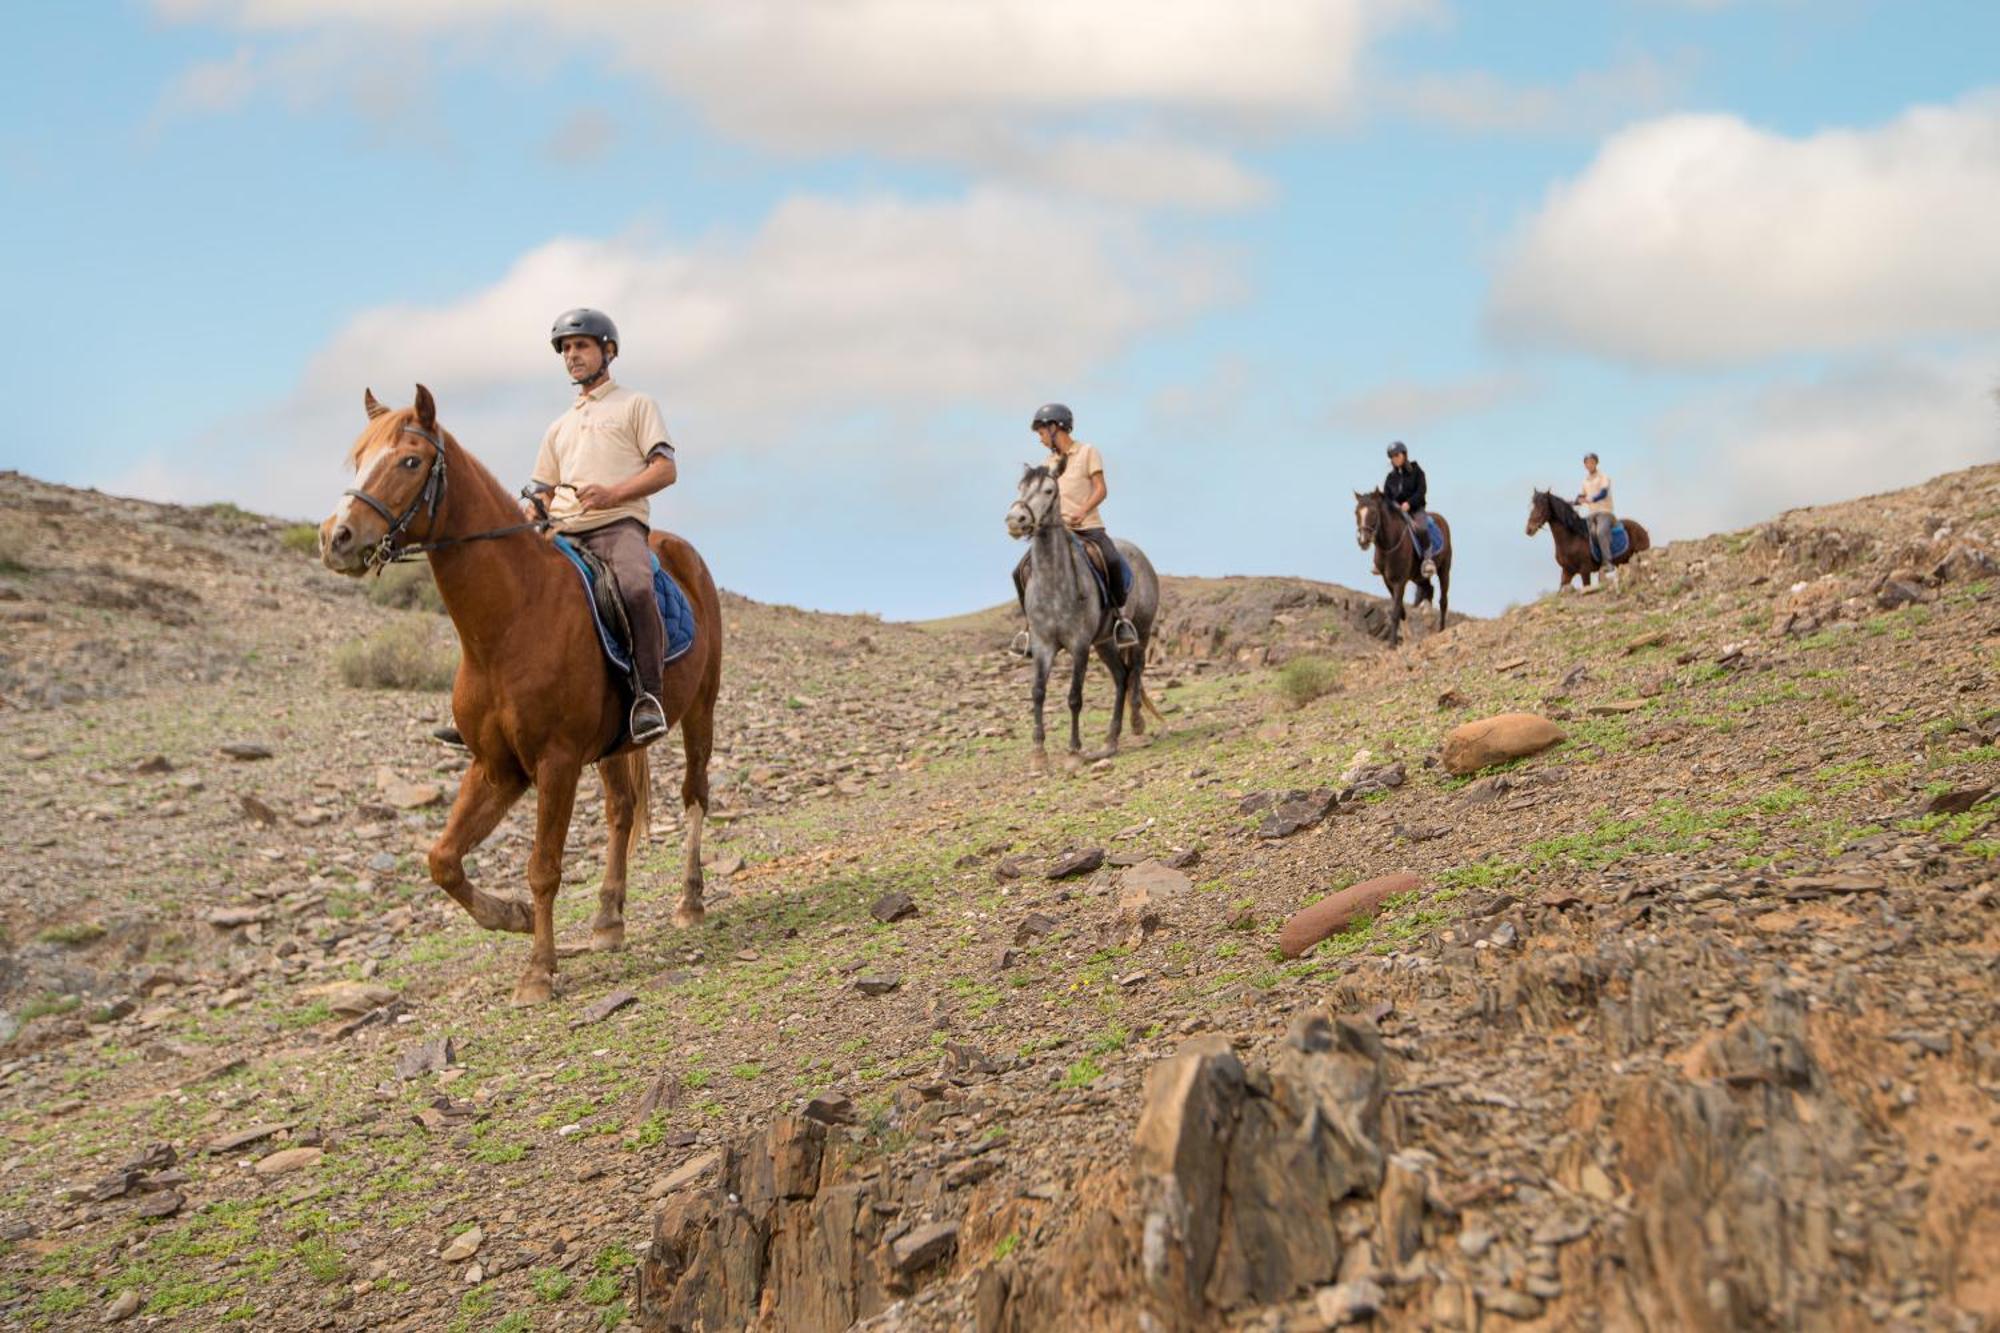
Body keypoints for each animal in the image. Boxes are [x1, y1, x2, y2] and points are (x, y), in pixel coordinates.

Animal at [312, 382, 720, 996]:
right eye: (359, 459)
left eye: (410, 461)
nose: (335, 538)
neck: (509, 622)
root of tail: (681, 553)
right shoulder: (495, 767)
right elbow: (443, 859)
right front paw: (513, 917)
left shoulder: (555, 762)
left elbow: (543, 868)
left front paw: (538, 972)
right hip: (612, 748)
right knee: (621, 812)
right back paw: (608, 919)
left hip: (701, 709)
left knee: (694, 795)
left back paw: (690, 903)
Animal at [1008, 462, 1168, 768]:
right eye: (1020, 488)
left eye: (1049, 490)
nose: (1015, 519)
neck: (1054, 584)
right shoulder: (1043, 645)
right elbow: (1038, 693)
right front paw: (1039, 754)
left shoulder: (1079, 645)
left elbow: (1074, 697)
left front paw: (1073, 752)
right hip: (1104, 642)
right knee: (1121, 677)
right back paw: (1110, 740)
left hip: (1141, 631)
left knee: (1135, 671)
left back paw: (1137, 726)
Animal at [1352, 492, 1448, 648]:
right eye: (1356, 512)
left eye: (1373, 512)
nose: (1363, 540)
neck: (1390, 545)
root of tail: (1441, 519)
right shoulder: (1388, 582)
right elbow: (1401, 610)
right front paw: (1406, 640)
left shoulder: (1400, 581)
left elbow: (1396, 611)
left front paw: (1392, 644)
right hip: (1418, 576)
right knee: (1430, 589)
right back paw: (1428, 619)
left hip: (1444, 569)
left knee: (1443, 600)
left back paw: (1441, 630)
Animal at [1528, 490, 1656, 588]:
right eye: (1532, 506)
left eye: (1542, 506)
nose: (1529, 529)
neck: (1571, 539)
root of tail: (1643, 530)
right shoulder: (1567, 572)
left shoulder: (1585, 571)